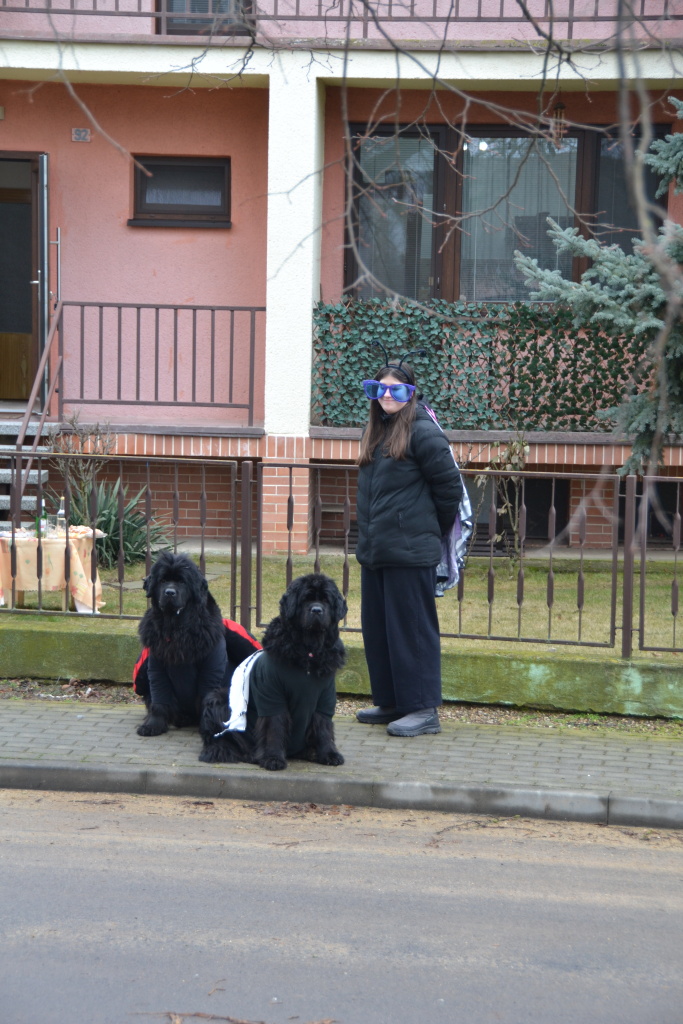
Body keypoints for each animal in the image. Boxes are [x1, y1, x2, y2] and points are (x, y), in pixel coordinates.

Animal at [134, 552, 259, 761]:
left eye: (182, 582)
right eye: (163, 580)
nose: (169, 592)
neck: (175, 627)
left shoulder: (210, 669)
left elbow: (206, 697)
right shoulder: (156, 667)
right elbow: (159, 699)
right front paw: (152, 726)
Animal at [200, 572, 347, 771]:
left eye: (325, 600)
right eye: (305, 599)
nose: (316, 610)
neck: (309, 653)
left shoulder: (325, 696)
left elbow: (324, 727)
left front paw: (329, 754)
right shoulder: (271, 695)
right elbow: (274, 728)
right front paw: (273, 758)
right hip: (217, 699)